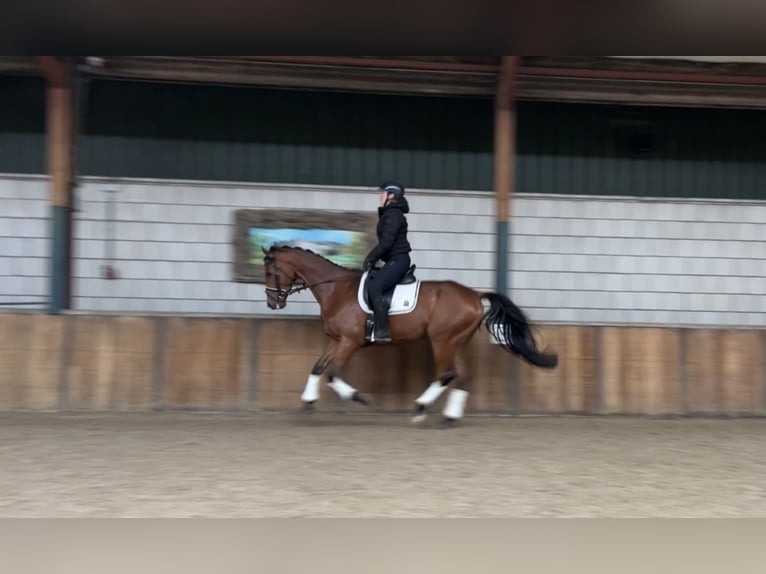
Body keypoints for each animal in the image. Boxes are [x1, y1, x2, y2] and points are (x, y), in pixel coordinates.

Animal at [262, 243, 560, 428]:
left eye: (269, 271)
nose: (273, 303)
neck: (336, 289)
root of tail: (475, 295)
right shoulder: (337, 340)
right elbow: (317, 367)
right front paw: (308, 401)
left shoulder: (349, 342)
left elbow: (333, 373)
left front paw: (359, 398)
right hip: (454, 342)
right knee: (462, 376)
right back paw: (449, 417)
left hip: (442, 340)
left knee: (446, 374)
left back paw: (421, 408)